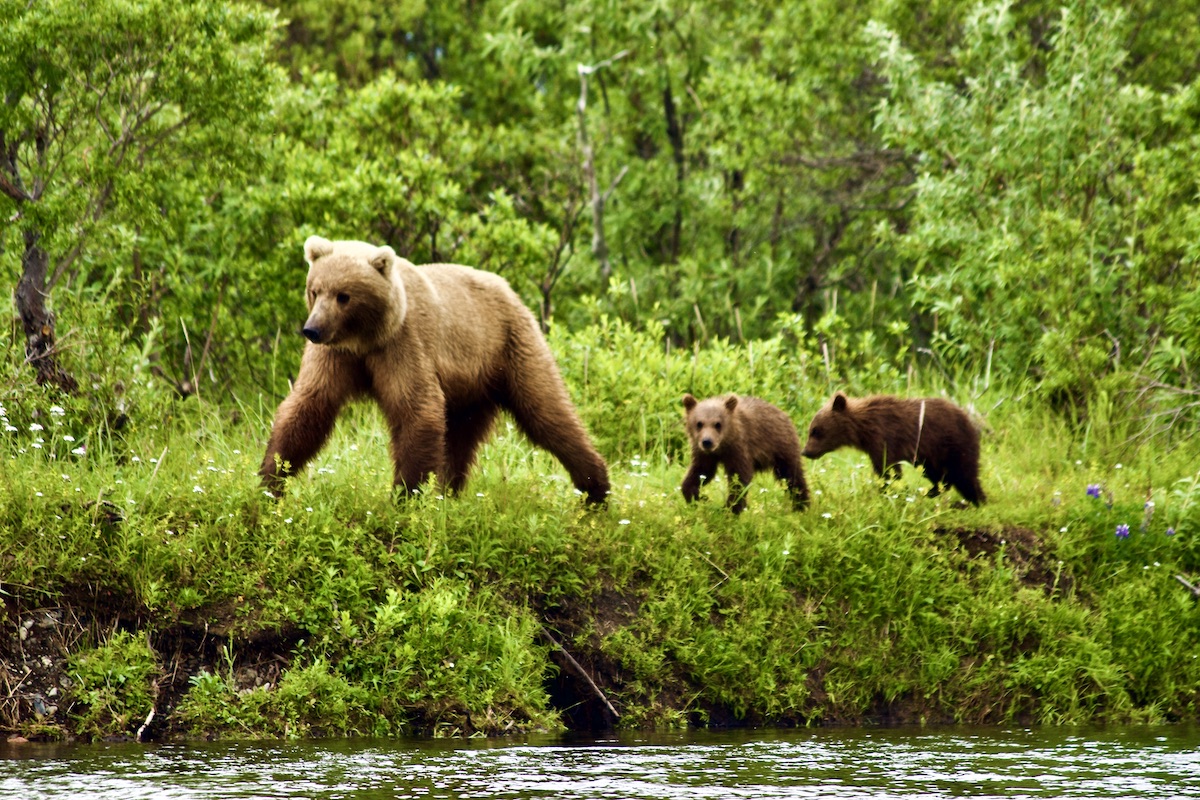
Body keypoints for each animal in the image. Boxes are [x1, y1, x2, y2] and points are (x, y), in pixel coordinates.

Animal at [255, 235, 609, 503]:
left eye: (344, 295)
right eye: (315, 290)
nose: (311, 330)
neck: (366, 339)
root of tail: (511, 290)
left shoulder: (402, 345)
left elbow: (417, 408)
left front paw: (403, 495)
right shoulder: (336, 356)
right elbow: (310, 405)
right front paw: (270, 479)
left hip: (511, 346)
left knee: (545, 410)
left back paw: (596, 488)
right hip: (471, 385)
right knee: (461, 438)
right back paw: (448, 493)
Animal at [681, 393, 811, 515]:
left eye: (718, 424)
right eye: (699, 423)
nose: (707, 442)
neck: (722, 446)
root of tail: (784, 413)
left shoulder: (739, 448)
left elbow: (739, 478)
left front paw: (730, 508)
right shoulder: (704, 454)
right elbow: (701, 472)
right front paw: (698, 497)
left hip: (781, 447)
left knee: (792, 476)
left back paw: (802, 506)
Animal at [806, 391, 984, 503]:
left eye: (815, 430)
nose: (805, 451)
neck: (864, 429)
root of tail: (969, 420)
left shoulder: (885, 439)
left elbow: (888, 470)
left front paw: (886, 492)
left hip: (953, 445)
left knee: (965, 474)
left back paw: (978, 500)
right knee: (942, 476)